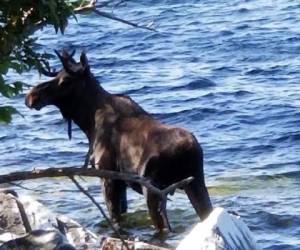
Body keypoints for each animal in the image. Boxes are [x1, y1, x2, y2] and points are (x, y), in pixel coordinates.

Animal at [25, 50, 213, 232]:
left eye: (65, 80)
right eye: (57, 76)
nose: (31, 96)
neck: (88, 121)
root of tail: (186, 150)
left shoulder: (108, 177)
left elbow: (115, 218)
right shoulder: (120, 183)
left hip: (154, 191)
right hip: (195, 183)